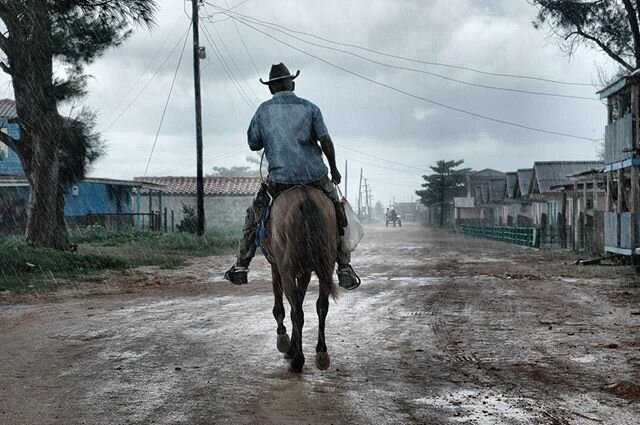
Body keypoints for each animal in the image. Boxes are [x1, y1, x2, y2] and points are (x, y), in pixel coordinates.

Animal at [260, 186, 340, 372]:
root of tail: (305, 197)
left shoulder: (277, 267)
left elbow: (281, 308)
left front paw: (285, 343)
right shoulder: (305, 273)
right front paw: (292, 347)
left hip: (287, 270)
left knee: (297, 312)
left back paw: (298, 361)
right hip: (326, 265)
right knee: (321, 306)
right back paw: (321, 353)